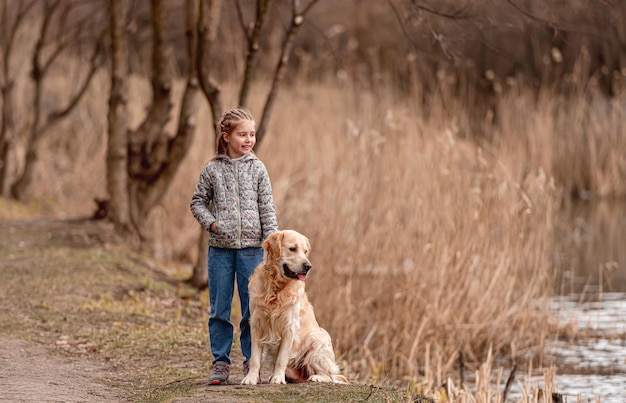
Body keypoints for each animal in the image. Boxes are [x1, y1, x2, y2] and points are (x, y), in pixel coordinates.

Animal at [240, 230, 348, 386]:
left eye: (305, 251)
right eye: (292, 249)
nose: (308, 266)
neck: (277, 288)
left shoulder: (289, 327)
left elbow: (281, 358)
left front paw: (278, 378)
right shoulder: (256, 323)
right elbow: (254, 358)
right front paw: (251, 378)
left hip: (318, 341)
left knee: (330, 376)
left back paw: (316, 377)